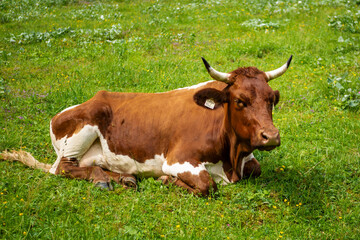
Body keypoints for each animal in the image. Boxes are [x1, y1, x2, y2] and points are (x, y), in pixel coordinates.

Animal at [0, 56, 292, 197]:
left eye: (271, 99)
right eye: (240, 101)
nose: (271, 136)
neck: (231, 160)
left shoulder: (247, 161)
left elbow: (256, 168)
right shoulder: (178, 160)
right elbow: (207, 184)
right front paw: (166, 181)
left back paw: (122, 178)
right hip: (83, 127)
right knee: (62, 168)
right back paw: (103, 180)